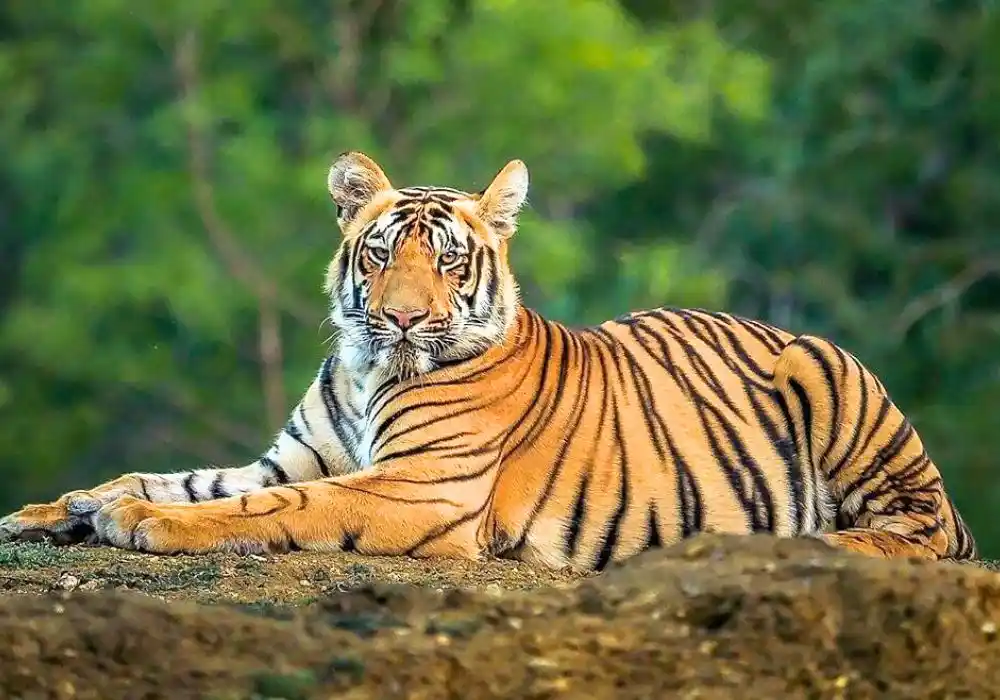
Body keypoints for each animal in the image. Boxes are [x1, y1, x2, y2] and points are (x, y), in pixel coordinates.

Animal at [0, 151, 977, 570]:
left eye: (449, 262)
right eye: (381, 254)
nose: (401, 319)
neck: (367, 369)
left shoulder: (419, 487)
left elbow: (269, 506)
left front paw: (136, 522)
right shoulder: (288, 455)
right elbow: (179, 476)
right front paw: (61, 508)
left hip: (834, 382)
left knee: (921, 533)